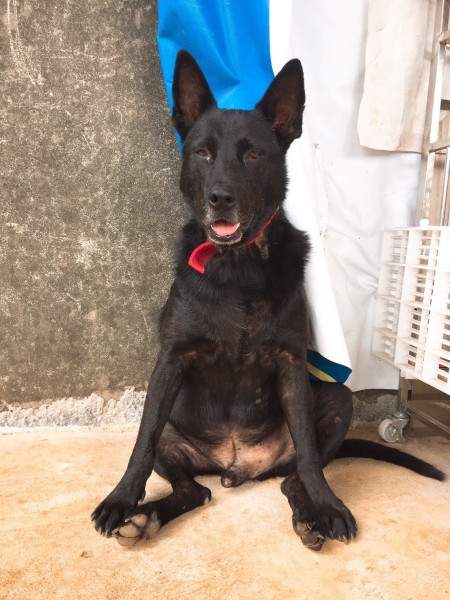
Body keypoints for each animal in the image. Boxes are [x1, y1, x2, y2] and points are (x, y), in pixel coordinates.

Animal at [91, 50, 442, 548]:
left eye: (254, 154)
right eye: (202, 152)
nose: (220, 197)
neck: (237, 266)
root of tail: (234, 464)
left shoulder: (291, 363)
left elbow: (311, 461)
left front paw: (328, 506)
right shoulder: (170, 362)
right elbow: (140, 445)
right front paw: (122, 500)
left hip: (337, 401)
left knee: (291, 478)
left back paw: (309, 515)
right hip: (172, 431)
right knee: (193, 488)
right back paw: (146, 517)